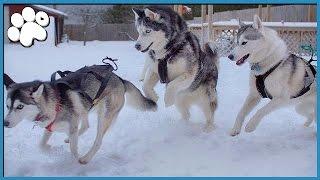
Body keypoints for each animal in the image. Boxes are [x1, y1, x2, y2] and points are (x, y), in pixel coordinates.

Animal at [3, 66, 156, 165]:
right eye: (7, 106)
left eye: (20, 106)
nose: (5, 123)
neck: (55, 103)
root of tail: (120, 79)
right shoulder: (51, 126)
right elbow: (41, 145)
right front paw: (51, 149)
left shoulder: (71, 125)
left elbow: (73, 150)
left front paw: (70, 158)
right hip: (85, 107)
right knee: (86, 125)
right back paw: (69, 139)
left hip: (103, 117)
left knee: (98, 141)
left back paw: (86, 158)